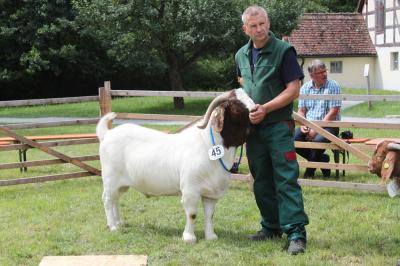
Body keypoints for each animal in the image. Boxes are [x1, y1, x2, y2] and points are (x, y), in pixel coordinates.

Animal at [95, 89, 255, 243]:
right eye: (236, 106)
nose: (255, 111)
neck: (208, 145)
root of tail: (107, 134)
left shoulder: (210, 193)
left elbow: (210, 215)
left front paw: (211, 236)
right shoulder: (190, 189)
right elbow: (192, 214)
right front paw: (189, 237)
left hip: (122, 184)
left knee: (115, 199)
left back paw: (119, 222)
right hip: (110, 179)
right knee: (107, 199)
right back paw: (113, 226)